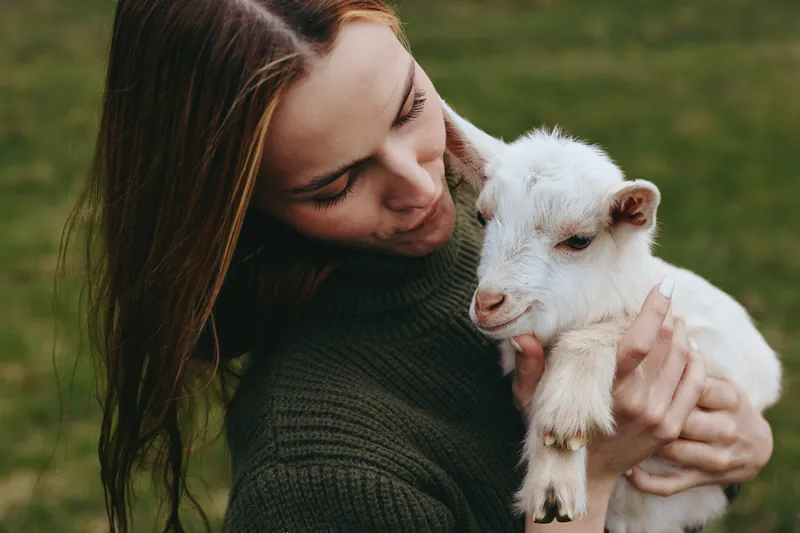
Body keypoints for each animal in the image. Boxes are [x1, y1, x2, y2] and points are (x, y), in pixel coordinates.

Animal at [441, 99, 782, 533]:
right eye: (482, 217)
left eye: (578, 240)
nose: (488, 303)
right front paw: (552, 485)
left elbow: (611, 327)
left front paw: (566, 414)